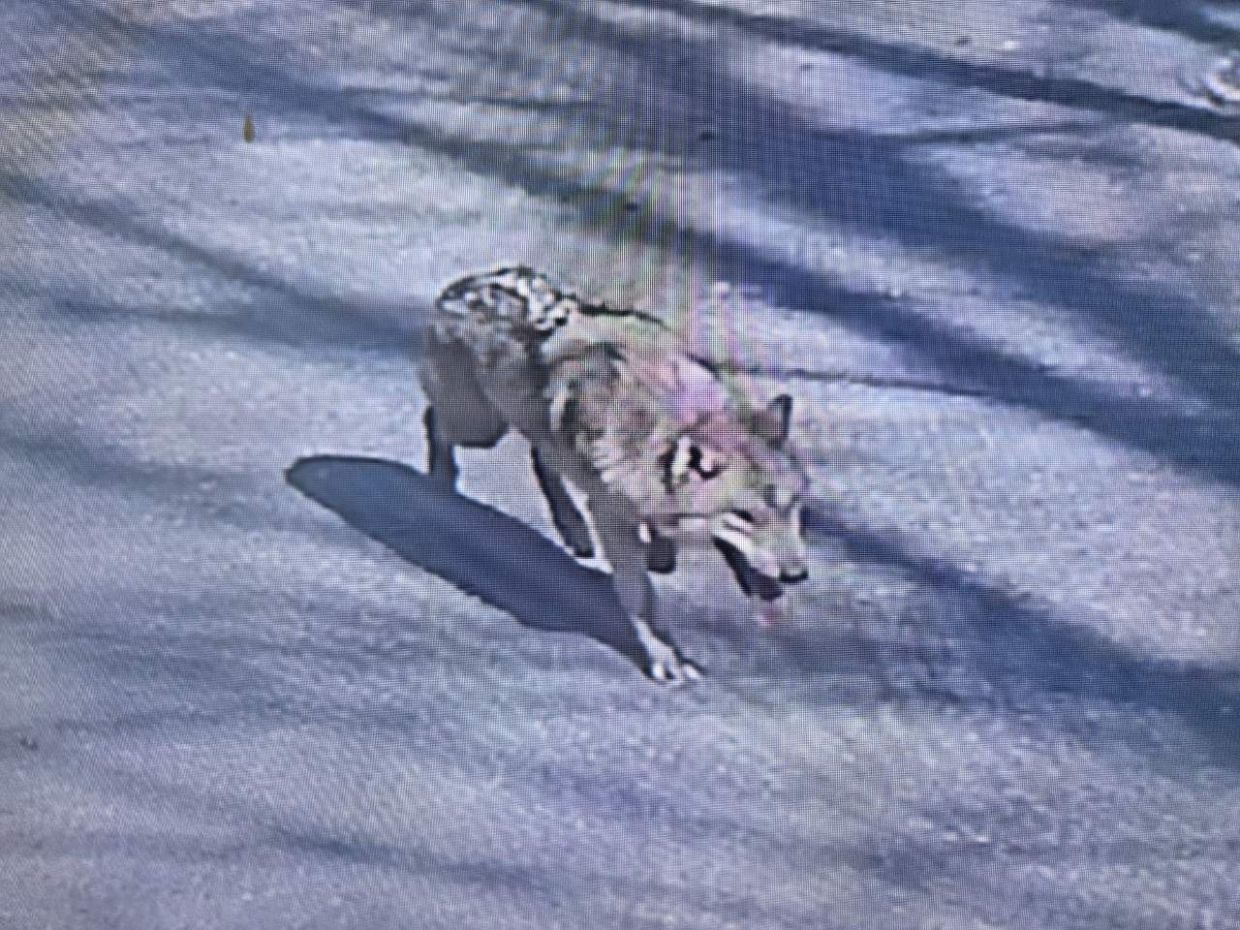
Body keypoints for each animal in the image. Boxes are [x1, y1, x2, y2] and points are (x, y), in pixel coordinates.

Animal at [418, 266, 810, 682]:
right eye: (745, 516)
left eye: (793, 507)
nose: (797, 575)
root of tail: (467, 283)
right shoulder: (612, 517)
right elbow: (641, 598)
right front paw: (668, 659)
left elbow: (670, 547)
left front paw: (666, 552)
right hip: (480, 428)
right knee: (435, 421)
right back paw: (441, 483)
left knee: (542, 456)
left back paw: (573, 529)